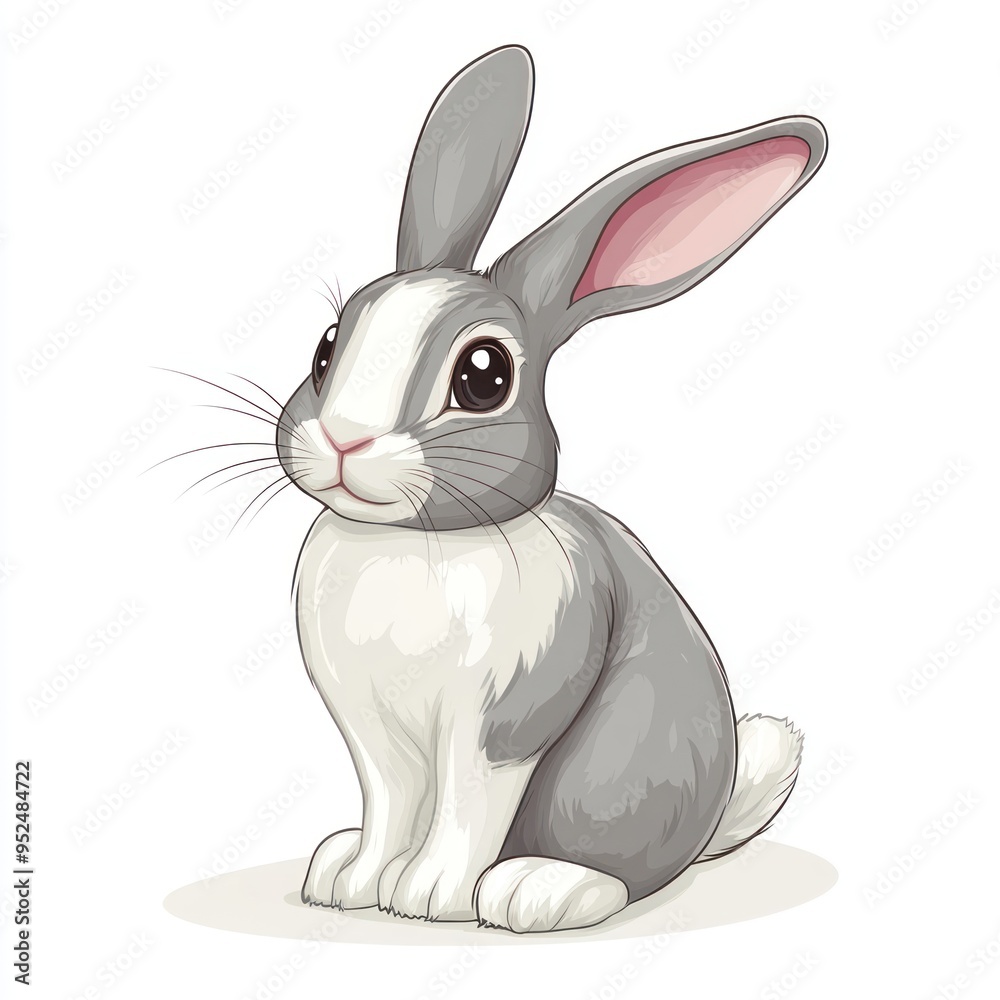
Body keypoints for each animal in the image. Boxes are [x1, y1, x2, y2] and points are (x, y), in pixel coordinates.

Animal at [277, 44, 826, 933]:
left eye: (484, 375)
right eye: (327, 347)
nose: (344, 440)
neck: (418, 543)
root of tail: (707, 825)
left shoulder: (499, 726)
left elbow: (465, 810)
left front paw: (427, 897)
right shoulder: (373, 735)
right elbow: (390, 805)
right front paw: (357, 885)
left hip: (611, 779)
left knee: (618, 874)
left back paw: (536, 889)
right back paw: (338, 860)